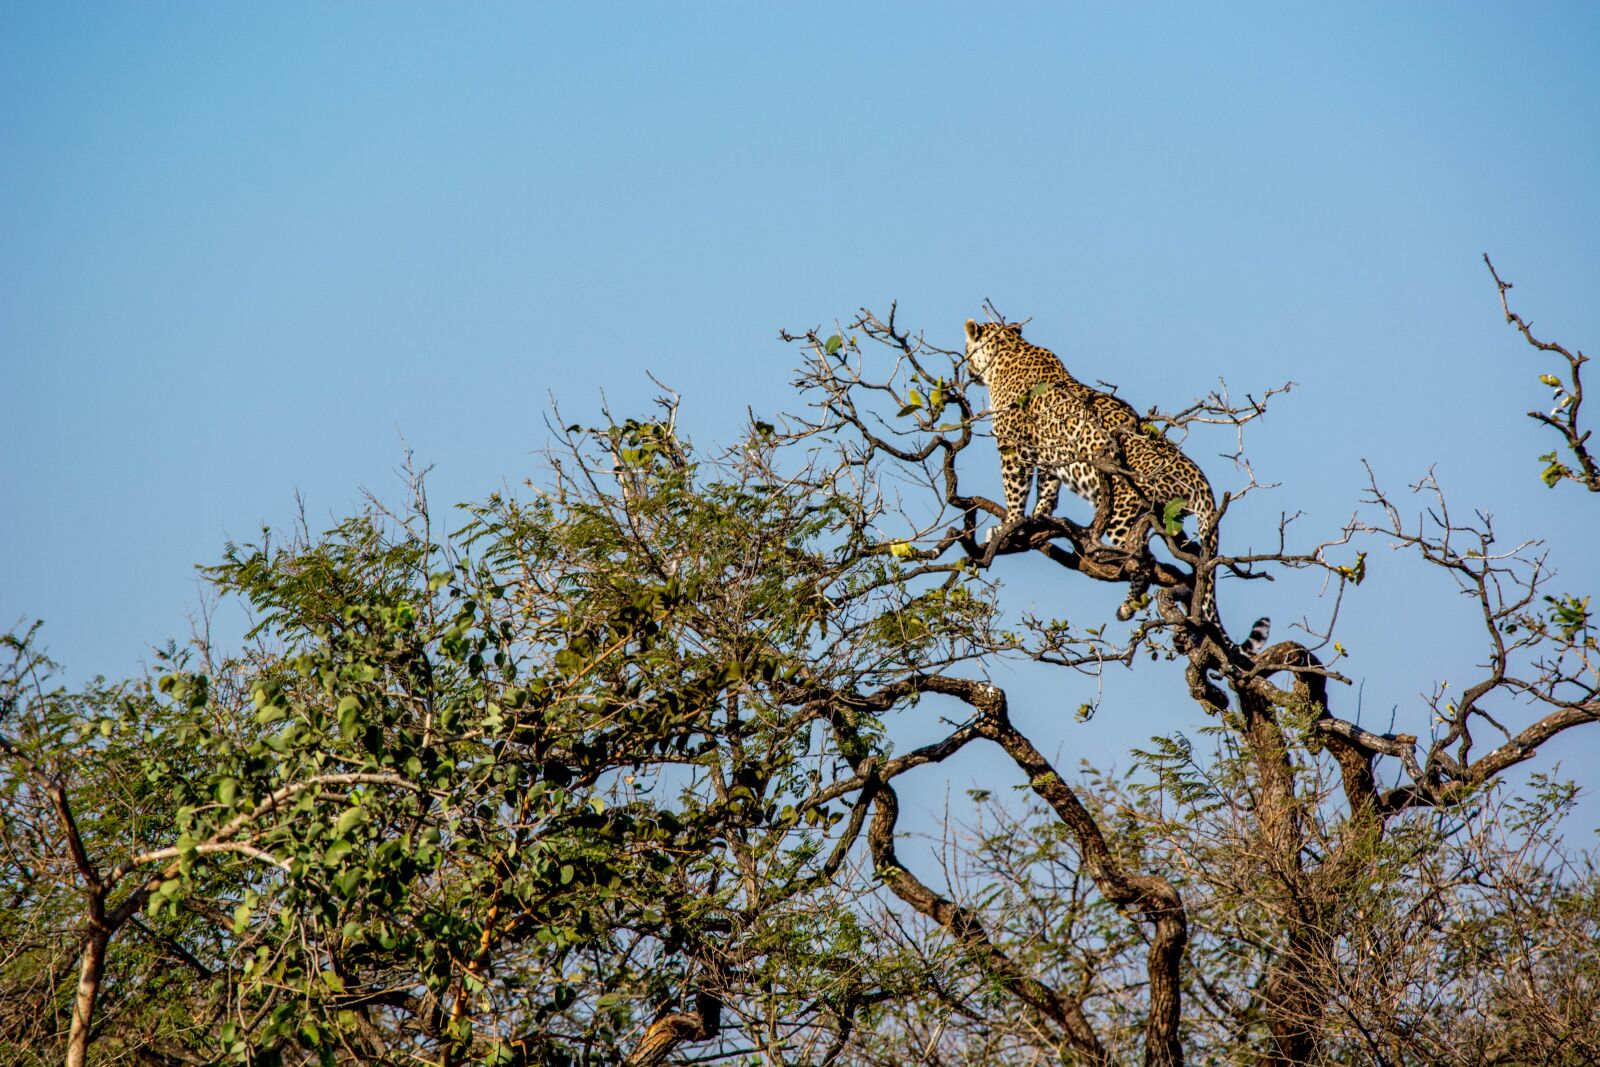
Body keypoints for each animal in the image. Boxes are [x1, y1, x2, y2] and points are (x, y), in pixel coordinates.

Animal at [963, 318, 1232, 627]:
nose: (968, 370)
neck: (1006, 354)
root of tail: (1196, 475)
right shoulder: (1049, 455)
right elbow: (1047, 490)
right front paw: (1038, 519)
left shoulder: (1013, 448)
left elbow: (1015, 491)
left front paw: (1009, 524)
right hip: (1170, 517)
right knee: (1194, 551)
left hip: (1123, 511)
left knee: (1144, 559)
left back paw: (1129, 604)